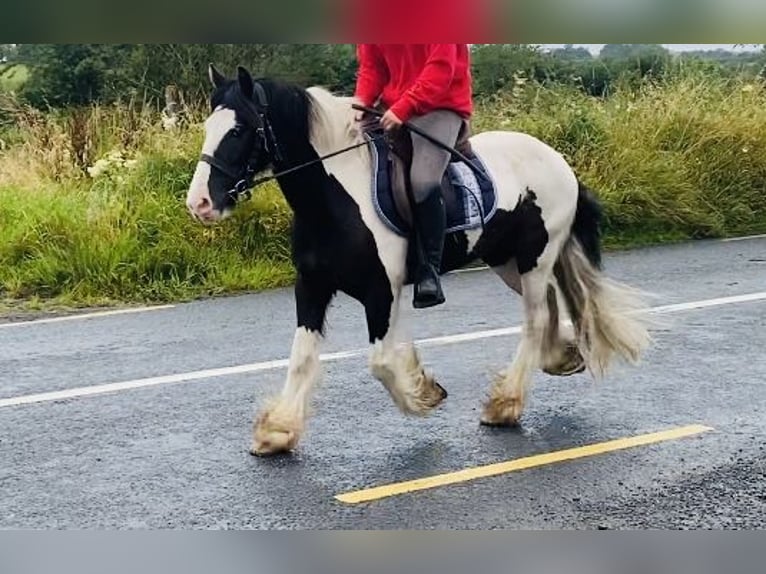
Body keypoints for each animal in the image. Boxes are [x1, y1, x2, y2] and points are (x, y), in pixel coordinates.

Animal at [186, 65, 656, 456]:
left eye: (239, 130)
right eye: (209, 126)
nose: (200, 204)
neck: (334, 199)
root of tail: (560, 162)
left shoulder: (382, 291)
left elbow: (380, 361)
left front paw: (423, 393)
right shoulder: (312, 287)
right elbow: (302, 357)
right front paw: (277, 432)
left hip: (535, 257)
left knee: (536, 318)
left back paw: (505, 405)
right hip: (508, 262)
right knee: (551, 307)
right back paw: (558, 360)